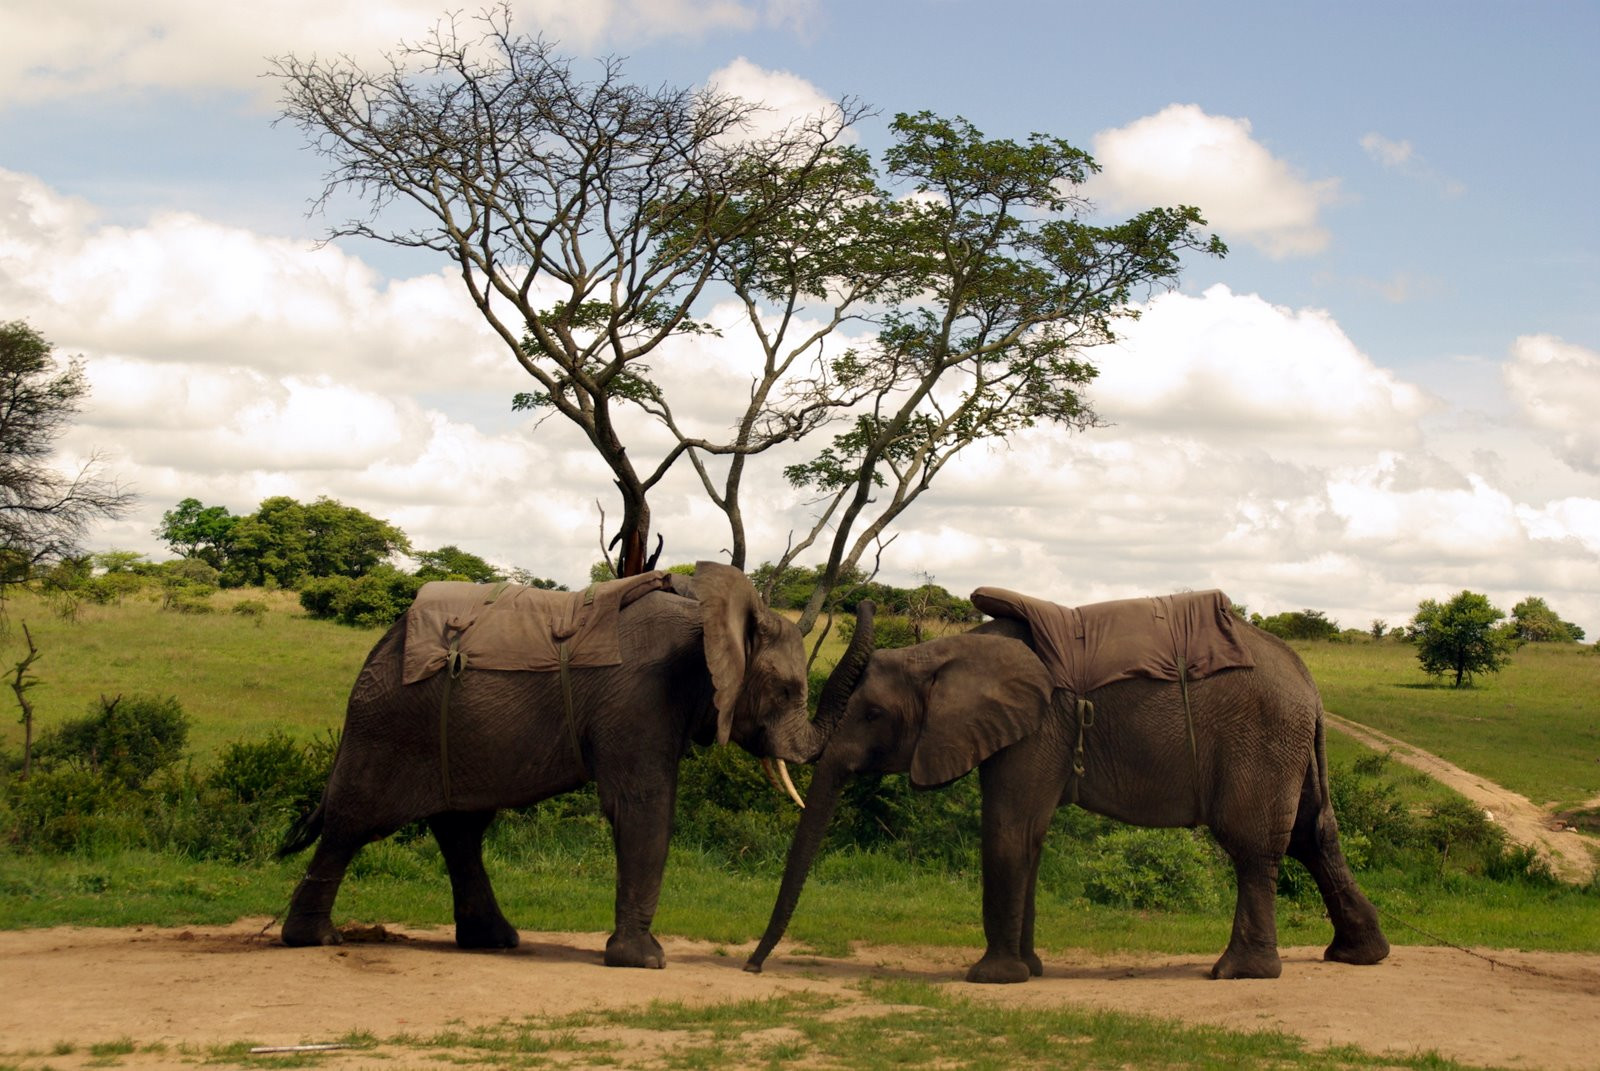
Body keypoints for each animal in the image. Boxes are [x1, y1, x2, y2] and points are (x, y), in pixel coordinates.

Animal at [278, 563, 825, 966]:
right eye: (786, 690)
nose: (812, 751)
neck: (708, 615)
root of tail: (381, 645)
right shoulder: (639, 696)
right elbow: (642, 804)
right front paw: (645, 961)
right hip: (389, 723)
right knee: (354, 822)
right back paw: (315, 940)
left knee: (461, 828)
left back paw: (494, 941)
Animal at [748, 589, 1388, 979]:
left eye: (873, 715)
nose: (753, 966)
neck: (943, 651)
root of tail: (1309, 681)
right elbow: (1029, 836)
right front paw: (1029, 971)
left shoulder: (1038, 725)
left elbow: (1009, 829)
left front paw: (990, 979)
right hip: (1286, 746)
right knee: (1314, 836)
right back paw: (1358, 956)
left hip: (1261, 739)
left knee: (1253, 847)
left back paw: (1238, 972)